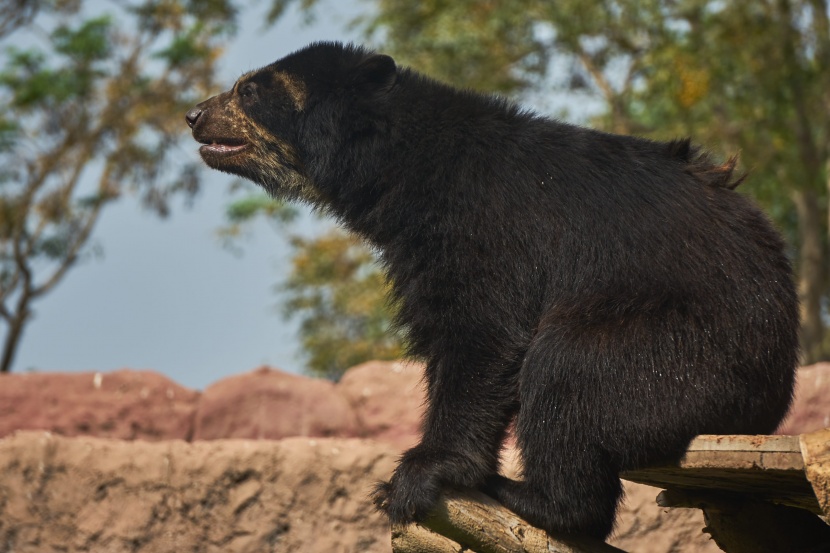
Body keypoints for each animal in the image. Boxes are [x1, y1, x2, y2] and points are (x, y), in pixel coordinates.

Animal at [187, 42, 800, 540]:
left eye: (248, 89)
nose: (192, 115)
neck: (403, 169)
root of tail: (766, 407)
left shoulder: (484, 223)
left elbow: (481, 331)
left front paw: (416, 474)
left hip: (684, 355)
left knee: (568, 369)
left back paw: (532, 496)